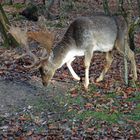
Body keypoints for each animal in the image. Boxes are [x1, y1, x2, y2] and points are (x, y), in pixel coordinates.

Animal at [9, 14, 138, 90]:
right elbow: (67, 62)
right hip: (109, 48)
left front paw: (86, 84)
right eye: (38, 70)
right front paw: (78, 78)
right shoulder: (76, 53)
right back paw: (99, 79)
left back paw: (134, 79)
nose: (44, 83)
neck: (74, 44)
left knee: (131, 54)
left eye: (45, 69)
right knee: (110, 59)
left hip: (120, 40)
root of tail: (127, 23)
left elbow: (86, 64)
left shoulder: (89, 46)